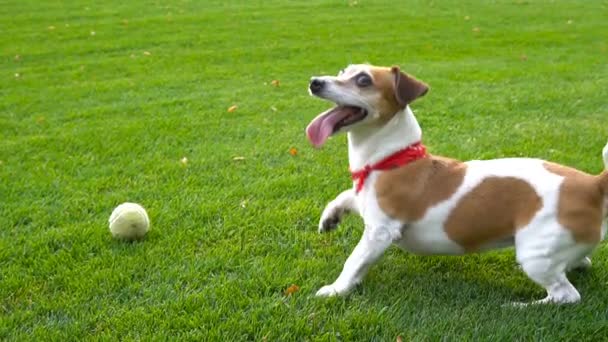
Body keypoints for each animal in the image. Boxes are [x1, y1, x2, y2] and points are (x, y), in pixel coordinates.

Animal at [306, 62, 608, 304]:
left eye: (363, 80)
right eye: (342, 72)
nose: (315, 81)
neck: (392, 159)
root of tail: (593, 185)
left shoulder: (379, 232)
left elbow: (354, 261)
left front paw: (335, 290)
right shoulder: (365, 199)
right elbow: (344, 196)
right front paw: (330, 217)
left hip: (535, 255)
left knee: (565, 295)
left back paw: (522, 305)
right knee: (581, 262)